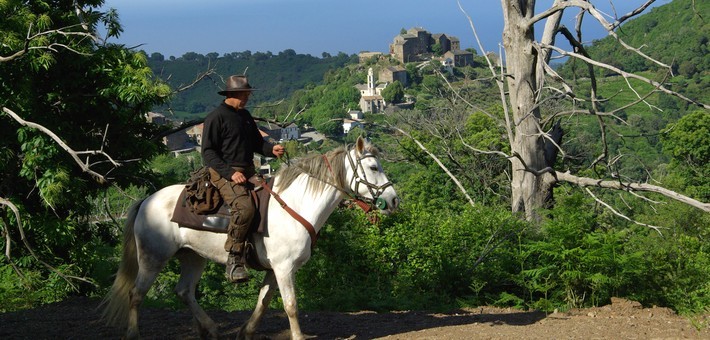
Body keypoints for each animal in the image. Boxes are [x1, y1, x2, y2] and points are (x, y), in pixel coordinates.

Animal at [101, 137, 400, 338]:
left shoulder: (274, 269)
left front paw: (246, 331)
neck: (296, 205)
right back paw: (134, 334)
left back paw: (210, 328)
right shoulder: (284, 268)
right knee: (136, 294)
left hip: (193, 257)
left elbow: (264, 301)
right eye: (373, 167)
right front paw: (298, 336)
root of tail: (146, 200)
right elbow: (291, 305)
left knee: (184, 291)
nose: (394, 200)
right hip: (153, 257)